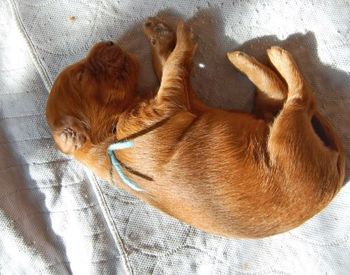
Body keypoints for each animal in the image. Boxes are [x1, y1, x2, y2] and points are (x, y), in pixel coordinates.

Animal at [45, 18, 344, 239]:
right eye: (82, 75)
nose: (108, 41)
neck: (111, 135)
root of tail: (336, 175)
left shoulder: (184, 99)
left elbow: (168, 64)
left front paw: (160, 34)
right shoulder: (170, 103)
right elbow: (175, 66)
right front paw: (183, 37)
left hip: (269, 116)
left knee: (280, 94)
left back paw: (245, 59)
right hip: (287, 139)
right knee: (299, 98)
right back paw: (276, 55)